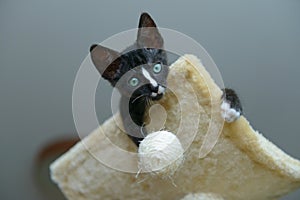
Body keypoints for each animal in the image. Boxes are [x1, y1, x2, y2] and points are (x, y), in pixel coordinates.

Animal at [90, 12, 243, 147]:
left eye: (157, 67)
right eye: (133, 81)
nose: (154, 86)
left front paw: (230, 106)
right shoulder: (127, 103)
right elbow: (131, 126)